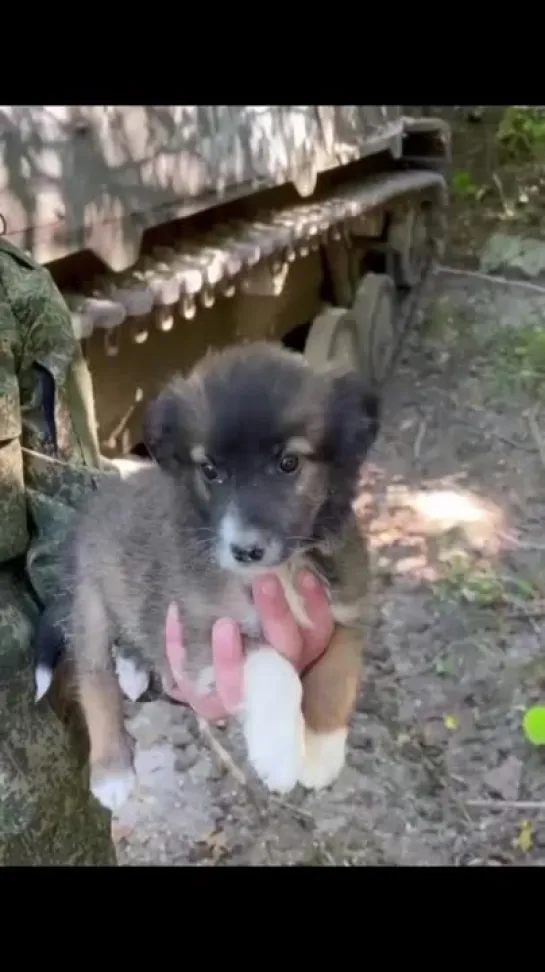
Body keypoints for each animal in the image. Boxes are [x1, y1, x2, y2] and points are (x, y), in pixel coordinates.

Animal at [62, 342, 378, 812]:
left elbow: (337, 677)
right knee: (94, 677)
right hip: (90, 601)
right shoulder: (199, 630)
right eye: (210, 470)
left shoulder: (346, 611)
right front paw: (280, 754)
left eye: (288, 463)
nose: (245, 550)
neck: (280, 570)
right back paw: (111, 769)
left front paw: (322, 750)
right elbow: (270, 664)